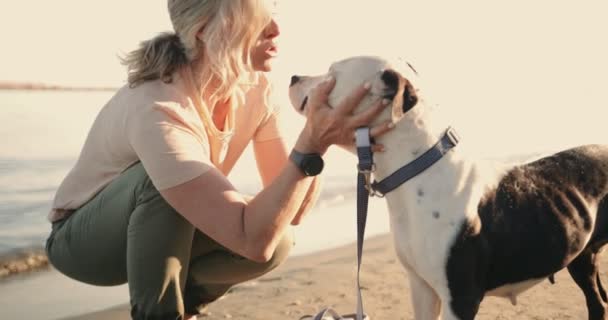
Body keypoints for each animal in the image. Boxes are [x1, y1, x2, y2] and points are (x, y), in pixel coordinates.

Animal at [288, 55, 608, 320]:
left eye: (331, 74)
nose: (292, 77)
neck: (417, 171)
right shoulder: (421, 288)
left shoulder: (461, 298)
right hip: (582, 255)